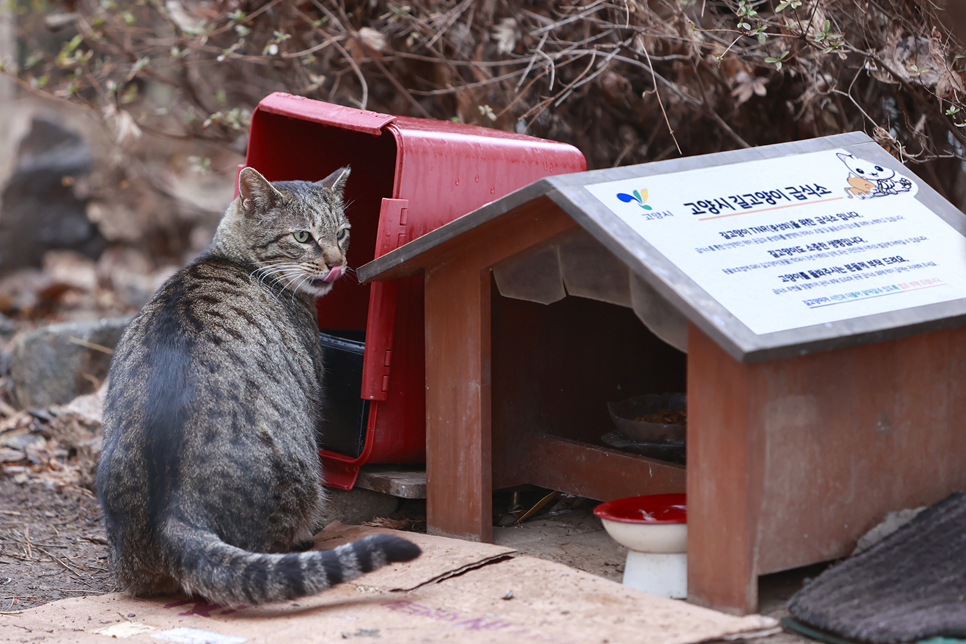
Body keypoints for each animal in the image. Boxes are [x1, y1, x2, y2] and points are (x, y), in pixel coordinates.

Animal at [95, 165, 424, 604]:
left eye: (342, 232)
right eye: (302, 236)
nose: (337, 263)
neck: (231, 257)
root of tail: (173, 516)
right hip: (301, 473)